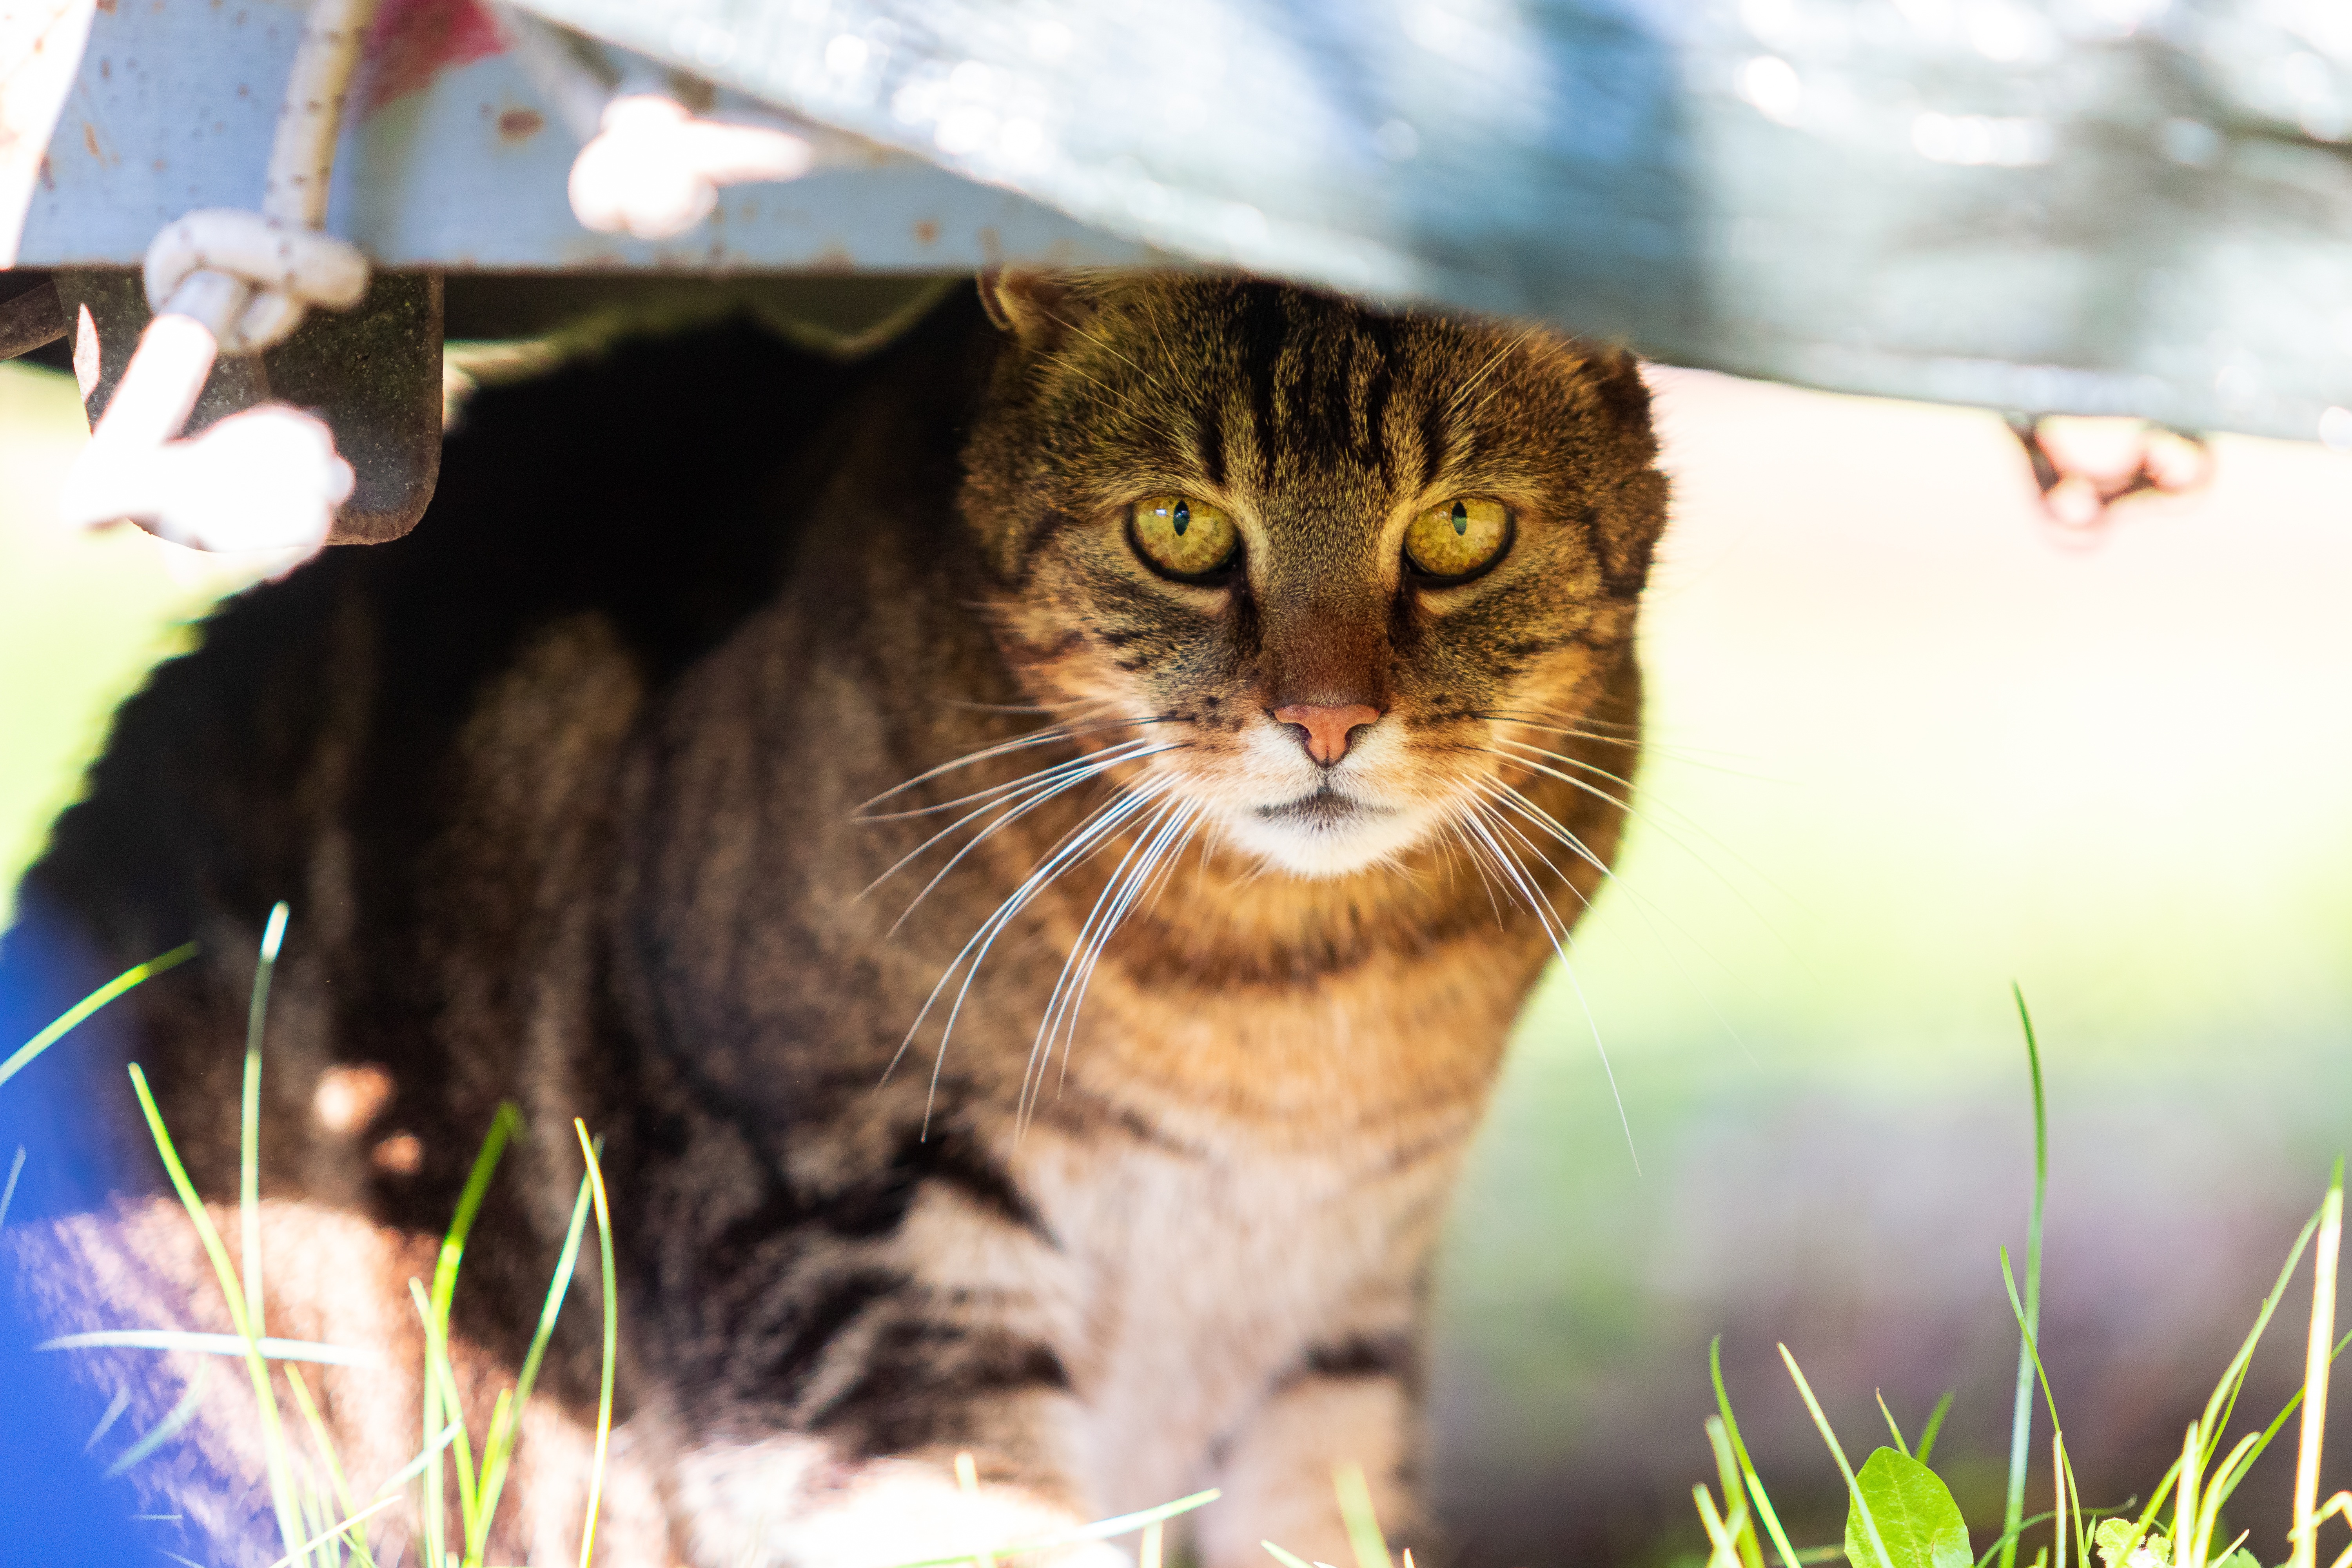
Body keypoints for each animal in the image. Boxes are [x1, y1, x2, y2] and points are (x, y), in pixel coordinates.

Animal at [0, 272, 1665, 1568]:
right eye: (1181, 528)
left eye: (1460, 527)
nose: (1325, 719)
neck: (1296, 1003)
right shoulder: (857, 1245)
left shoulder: (1337, 1328)